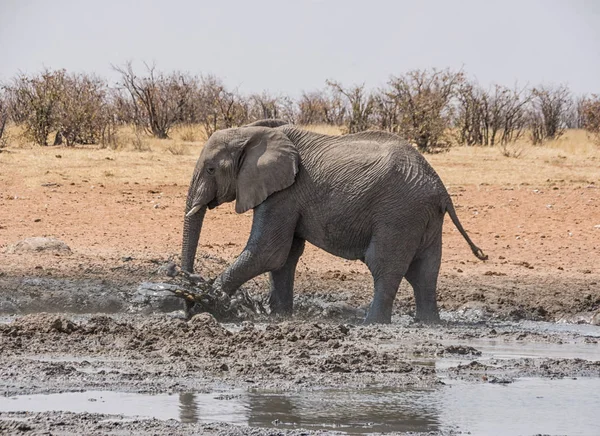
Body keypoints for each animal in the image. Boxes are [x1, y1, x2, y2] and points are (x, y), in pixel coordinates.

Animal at [183, 119, 488, 324]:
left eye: (210, 169)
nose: (185, 304)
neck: (251, 131)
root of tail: (441, 189)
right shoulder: (285, 194)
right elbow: (285, 257)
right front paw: (279, 315)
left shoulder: (284, 192)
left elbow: (269, 252)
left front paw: (208, 304)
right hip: (424, 218)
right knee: (424, 272)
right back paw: (428, 322)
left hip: (399, 213)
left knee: (384, 266)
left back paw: (371, 323)